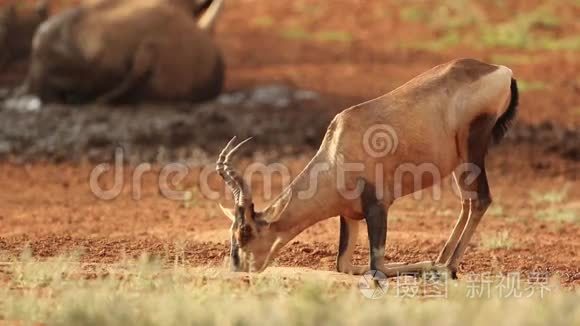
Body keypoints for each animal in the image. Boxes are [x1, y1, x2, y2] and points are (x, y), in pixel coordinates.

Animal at [219, 59, 520, 278]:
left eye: (245, 232)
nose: (237, 269)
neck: (337, 150)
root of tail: (501, 70)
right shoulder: (350, 215)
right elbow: (344, 265)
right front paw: (430, 263)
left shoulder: (378, 207)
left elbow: (378, 268)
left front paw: (427, 265)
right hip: (459, 160)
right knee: (467, 203)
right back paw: (443, 259)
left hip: (473, 146)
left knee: (481, 200)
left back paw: (448, 267)